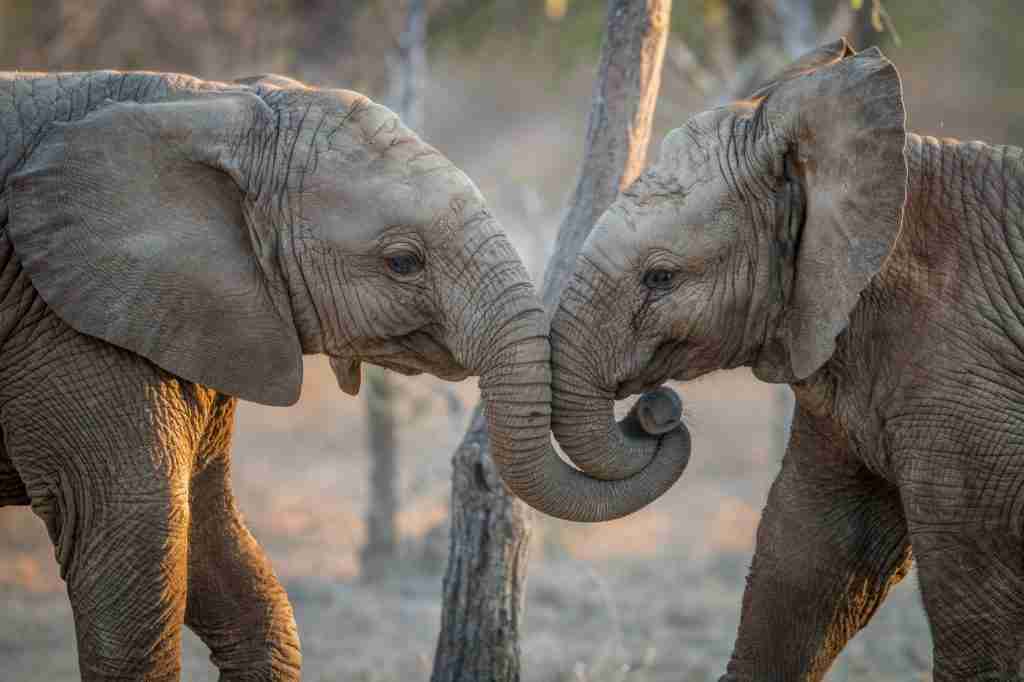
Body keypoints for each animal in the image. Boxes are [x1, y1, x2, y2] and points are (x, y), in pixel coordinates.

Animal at [0, 70, 688, 679]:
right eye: (402, 262)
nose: (656, 409)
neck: (206, 103)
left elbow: (219, 545)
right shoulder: (67, 326)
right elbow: (139, 533)